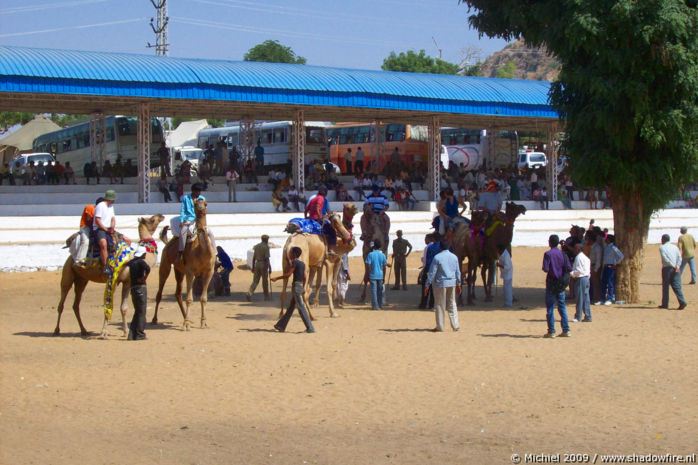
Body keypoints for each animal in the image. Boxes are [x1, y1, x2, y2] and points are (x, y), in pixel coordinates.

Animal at [152, 198, 215, 328]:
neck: (201, 251)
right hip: (165, 263)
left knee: (178, 293)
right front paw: (186, 325)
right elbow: (189, 299)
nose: (200, 207)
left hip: (179, 270)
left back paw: (186, 318)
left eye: (205, 204)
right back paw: (155, 319)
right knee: (160, 292)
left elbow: (203, 298)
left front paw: (203, 322)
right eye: (195, 204)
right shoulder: (190, 271)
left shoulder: (209, 271)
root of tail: (167, 243)